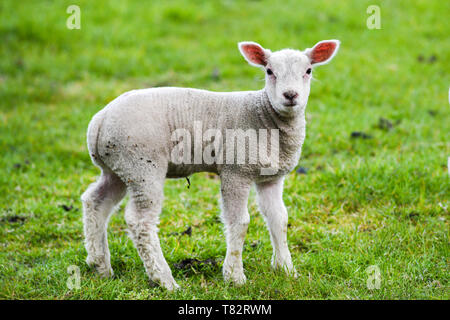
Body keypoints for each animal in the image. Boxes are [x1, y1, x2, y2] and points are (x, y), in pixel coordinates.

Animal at [81, 40, 342, 290]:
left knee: (96, 201)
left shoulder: (272, 177)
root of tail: (99, 121)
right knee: (140, 222)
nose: (290, 95)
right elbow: (240, 222)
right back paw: (165, 280)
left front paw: (286, 269)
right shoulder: (236, 170)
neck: (264, 118)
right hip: (142, 164)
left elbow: (279, 219)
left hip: (119, 166)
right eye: (269, 71)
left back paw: (100, 266)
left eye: (308, 71)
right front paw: (234, 276)